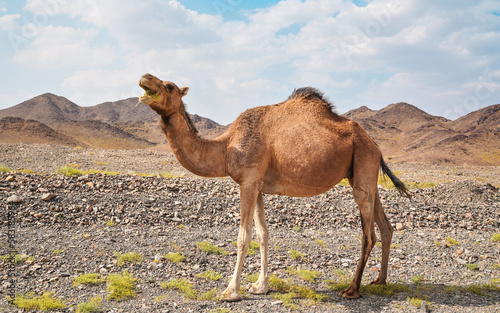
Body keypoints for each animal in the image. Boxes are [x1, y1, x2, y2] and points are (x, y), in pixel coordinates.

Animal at [139, 73, 412, 300]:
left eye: (169, 85)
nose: (145, 77)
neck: (226, 148)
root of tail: (375, 145)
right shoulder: (257, 185)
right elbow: (263, 234)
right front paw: (260, 286)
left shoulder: (248, 181)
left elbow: (243, 236)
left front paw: (231, 291)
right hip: (363, 173)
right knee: (385, 226)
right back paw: (380, 281)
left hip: (363, 163)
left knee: (368, 234)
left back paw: (352, 289)